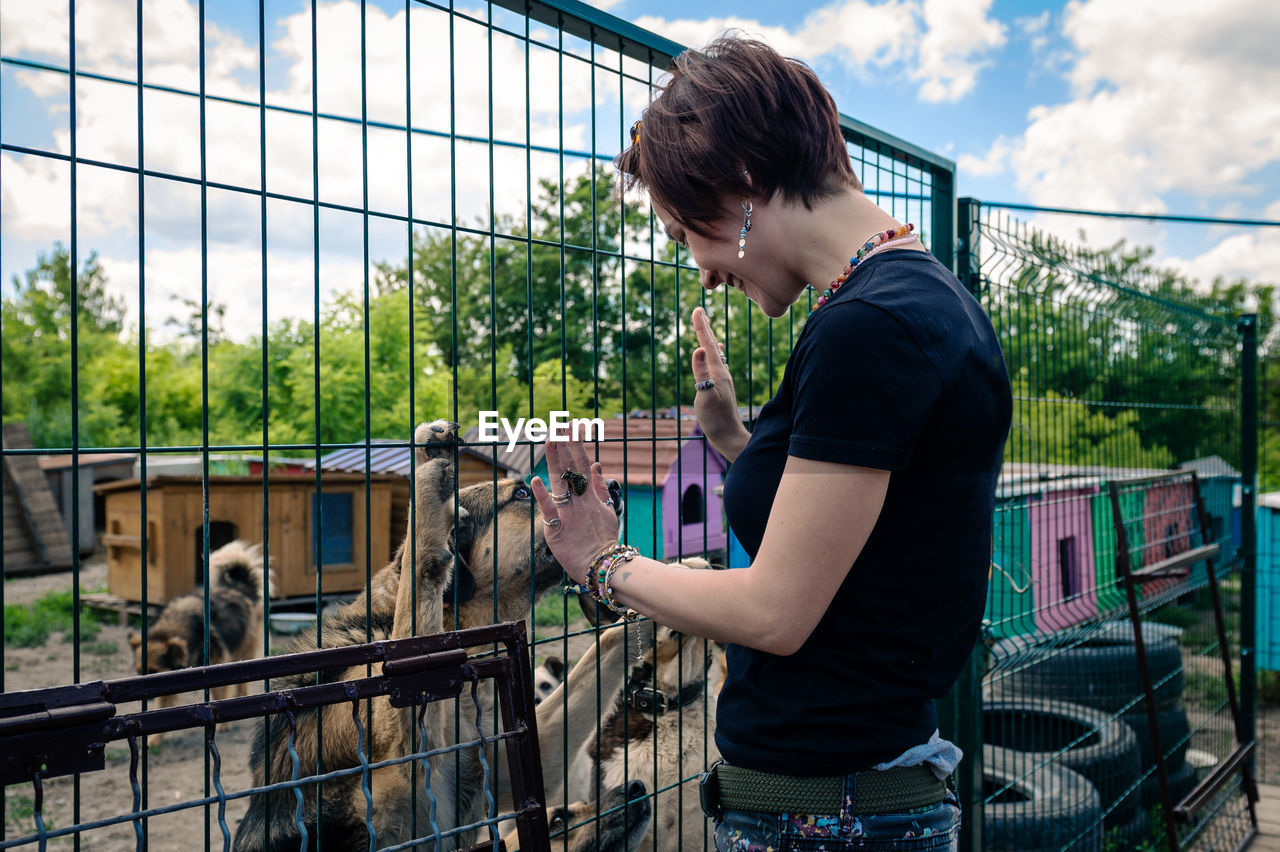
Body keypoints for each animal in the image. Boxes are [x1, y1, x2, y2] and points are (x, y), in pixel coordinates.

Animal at [234, 419, 624, 849]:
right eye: (522, 494)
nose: (616, 488)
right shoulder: (395, 782)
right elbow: (418, 566)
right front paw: (425, 470)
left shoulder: (504, 770)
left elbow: (602, 651)